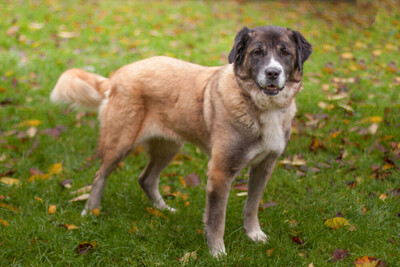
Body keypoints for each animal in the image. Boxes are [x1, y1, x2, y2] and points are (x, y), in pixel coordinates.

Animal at [50, 25, 312, 258]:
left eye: (285, 53)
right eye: (257, 52)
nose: (272, 73)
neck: (262, 107)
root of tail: (118, 73)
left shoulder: (264, 166)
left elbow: (251, 205)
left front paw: (254, 235)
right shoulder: (221, 170)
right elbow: (217, 219)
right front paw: (217, 253)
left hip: (170, 146)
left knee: (146, 179)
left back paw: (164, 209)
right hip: (120, 143)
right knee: (100, 175)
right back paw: (90, 211)